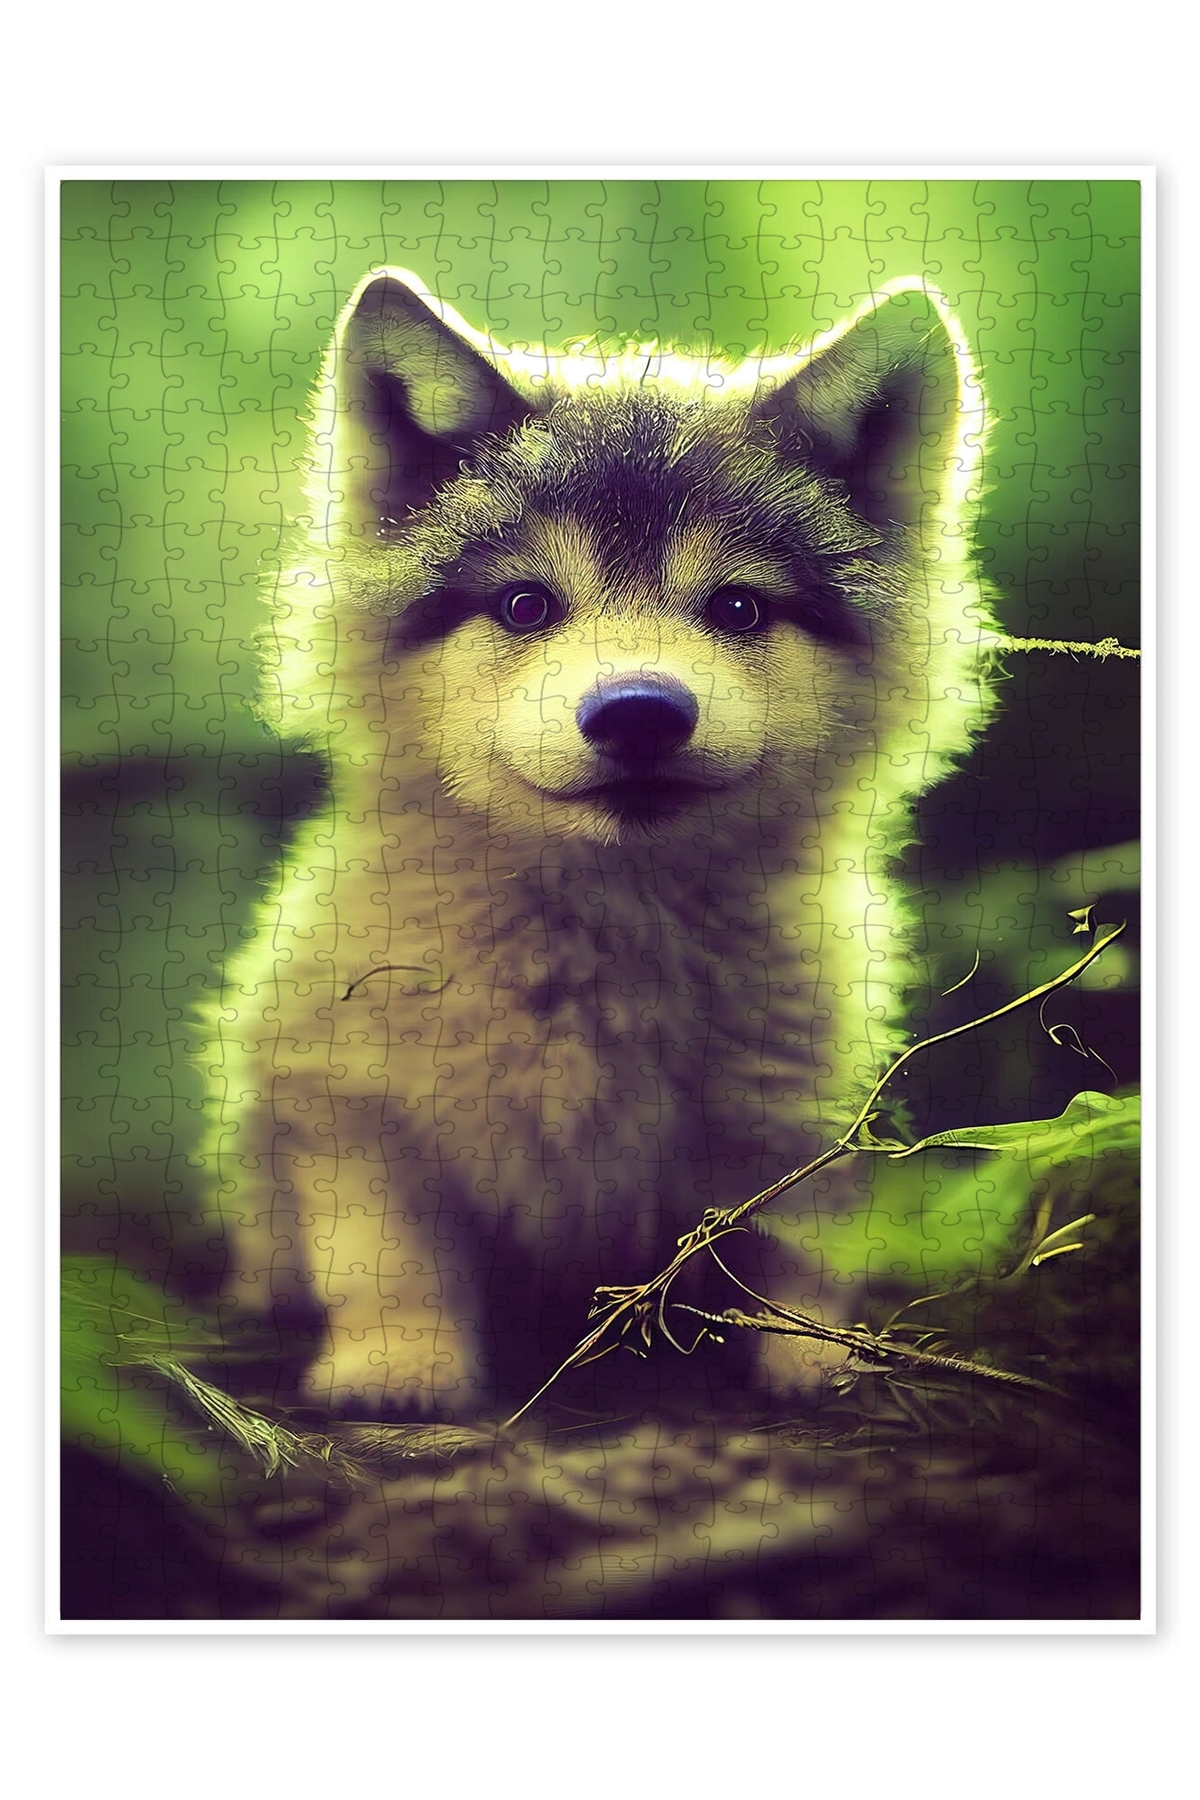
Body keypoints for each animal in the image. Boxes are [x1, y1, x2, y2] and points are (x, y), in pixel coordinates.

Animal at [201, 269, 998, 1421]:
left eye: (738, 607)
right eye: (527, 604)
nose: (639, 714)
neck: (596, 955)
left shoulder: (797, 1121)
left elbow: (802, 1259)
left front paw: (822, 1362)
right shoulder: (344, 1100)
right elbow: (390, 1256)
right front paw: (400, 1367)